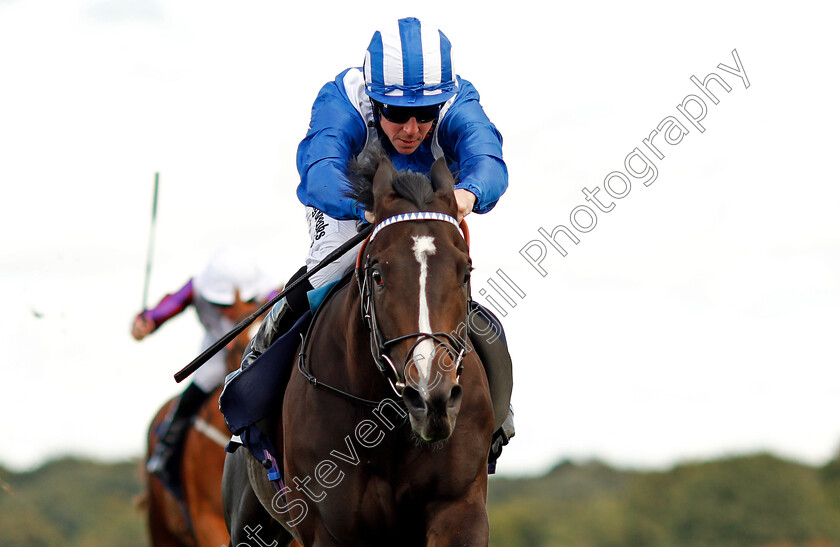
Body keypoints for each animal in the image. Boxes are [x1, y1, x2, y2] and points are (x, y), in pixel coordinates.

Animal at [226, 153, 496, 547]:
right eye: (378, 275)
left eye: (465, 273)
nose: (431, 396)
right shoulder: (330, 528)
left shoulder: (459, 507)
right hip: (249, 524)